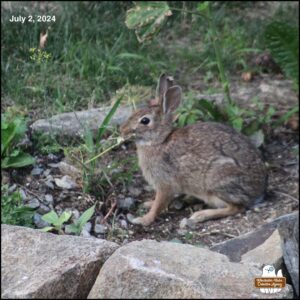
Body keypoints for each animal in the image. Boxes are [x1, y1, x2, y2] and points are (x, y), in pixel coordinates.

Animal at [119, 74, 268, 226]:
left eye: (145, 121)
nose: (122, 130)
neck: (160, 140)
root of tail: (259, 191)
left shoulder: (164, 183)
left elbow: (159, 204)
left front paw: (143, 219)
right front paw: (148, 203)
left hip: (218, 181)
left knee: (237, 207)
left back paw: (200, 215)